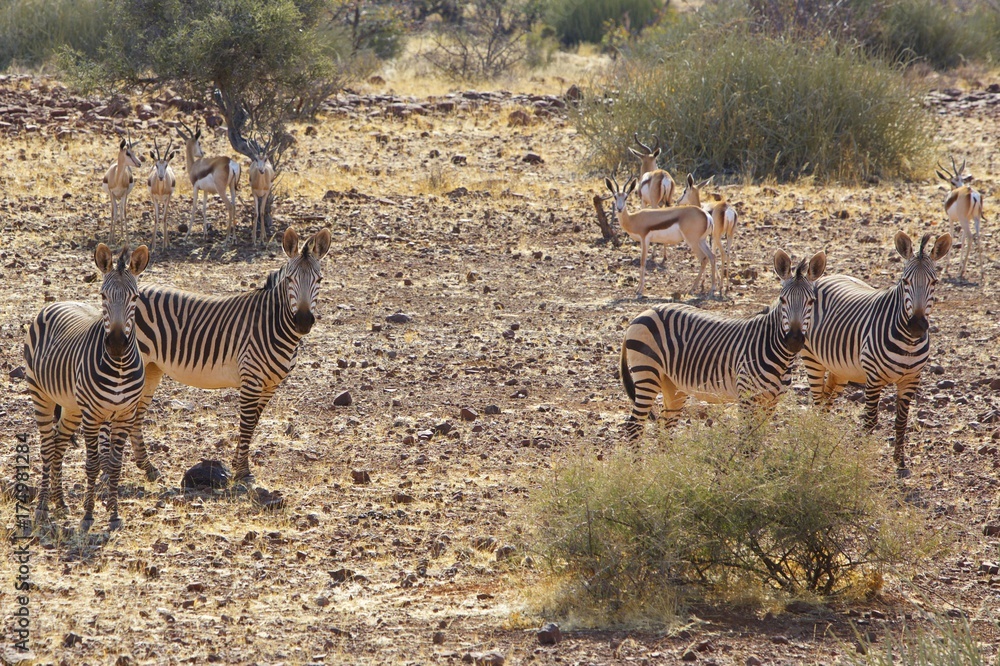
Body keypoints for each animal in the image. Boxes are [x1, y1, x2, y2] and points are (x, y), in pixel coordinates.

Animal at [24, 244, 149, 531]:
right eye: (103, 295)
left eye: (135, 297)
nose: (117, 344)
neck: (119, 366)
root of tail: (58, 301)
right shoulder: (92, 416)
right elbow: (93, 464)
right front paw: (89, 514)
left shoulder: (125, 415)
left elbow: (114, 465)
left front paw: (114, 515)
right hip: (40, 394)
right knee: (47, 447)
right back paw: (43, 507)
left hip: (71, 406)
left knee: (59, 444)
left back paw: (60, 503)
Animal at [124, 227, 332, 483]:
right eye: (290, 280)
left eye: (319, 280)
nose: (302, 321)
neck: (272, 323)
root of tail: (136, 288)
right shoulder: (251, 379)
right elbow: (246, 424)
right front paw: (242, 471)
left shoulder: (270, 385)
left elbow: (253, 422)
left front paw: (236, 463)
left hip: (152, 368)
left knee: (135, 416)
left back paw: (147, 467)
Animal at [621, 250, 826, 438]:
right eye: (783, 300)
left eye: (811, 301)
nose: (793, 340)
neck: (779, 355)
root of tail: (644, 312)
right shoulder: (747, 398)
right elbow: (747, 441)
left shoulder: (771, 402)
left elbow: (758, 439)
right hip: (647, 373)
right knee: (634, 427)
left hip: (671, 383)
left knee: (664, 426)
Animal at [800, 231, 952, 474]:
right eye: (905, 281)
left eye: (934, 282)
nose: (917, 325)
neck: (908, 342)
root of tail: (825, 277)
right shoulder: (873, 378)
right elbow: (870, 421)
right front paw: (861, 461)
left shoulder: (911, 379)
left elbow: (901, 421)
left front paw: (900, 461)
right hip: (812, 359)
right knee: (817, 400)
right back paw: (815, 440)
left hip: (840, 369)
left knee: (826, 401)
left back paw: (821, 437)